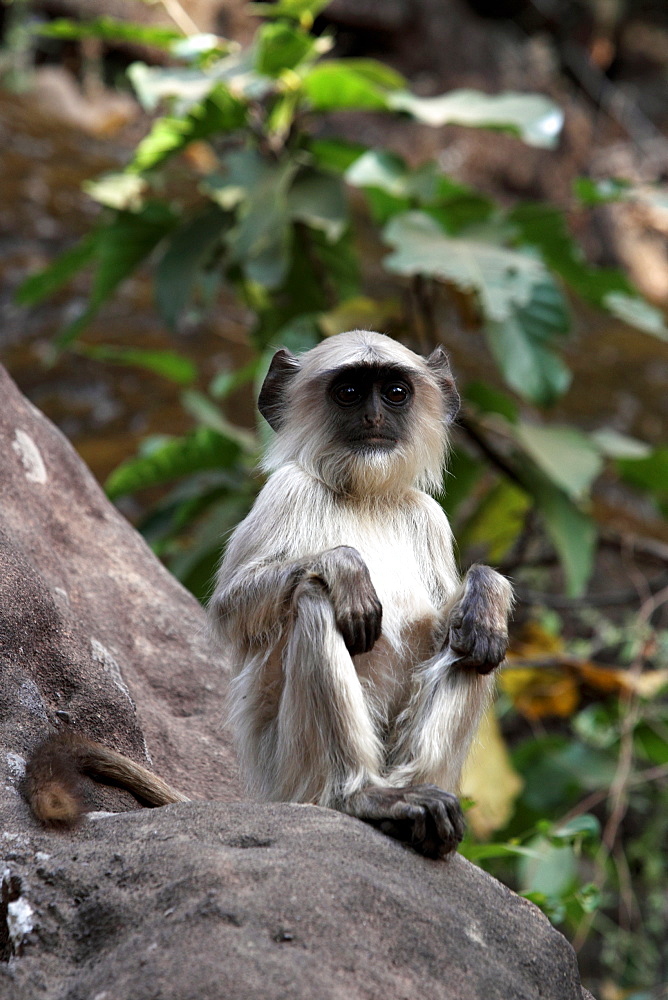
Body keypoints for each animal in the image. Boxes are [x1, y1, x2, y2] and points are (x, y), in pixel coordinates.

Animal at [211, 330, 516, 860]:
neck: (364, 496)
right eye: (350, 393)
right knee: (315, 601)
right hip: (286, 774)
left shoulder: (428, 516)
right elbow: (231, 608)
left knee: (476, 645)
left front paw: (486, 592)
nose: (374, 419)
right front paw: (345, 568)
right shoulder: (286, 490)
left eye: (394, 392)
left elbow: (453, 615)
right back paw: (363, 798)